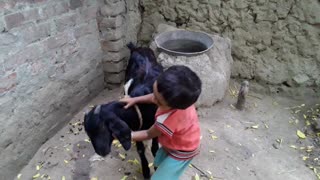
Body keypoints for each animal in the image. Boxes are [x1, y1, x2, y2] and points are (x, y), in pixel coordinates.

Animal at [84, 43, 162, 179]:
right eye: (88, 133)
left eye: (102, 127)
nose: (101, 151)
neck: (140, 107)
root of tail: (137, 47)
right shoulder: (136, 126)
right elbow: (140, 149)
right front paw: (146, 171)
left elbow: (155, 148)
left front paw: (156, 167)